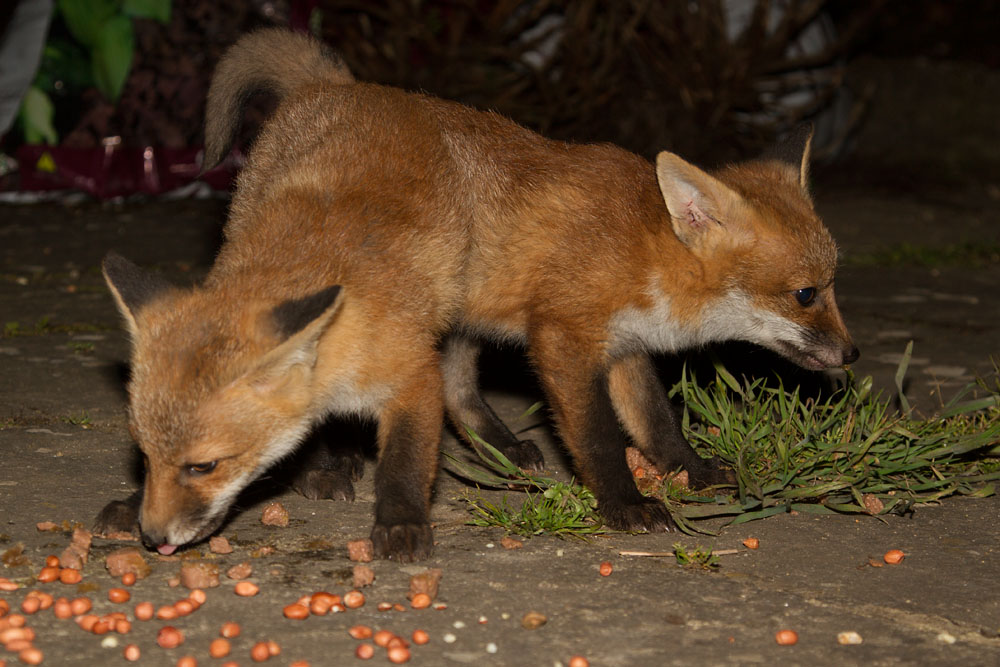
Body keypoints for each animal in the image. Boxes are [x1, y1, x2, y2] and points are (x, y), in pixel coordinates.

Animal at [94, 29, 858, 561]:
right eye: (805, 293)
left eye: (830, 285)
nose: (852, 357)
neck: (645, 252)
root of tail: (341, 88)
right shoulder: (566, 336)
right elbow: (601, 437)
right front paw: (624, 503)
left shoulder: (624, 347)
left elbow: (657, 424)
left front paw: (691, 471)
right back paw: (337, 466)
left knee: (457, 389)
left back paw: (499, 448)